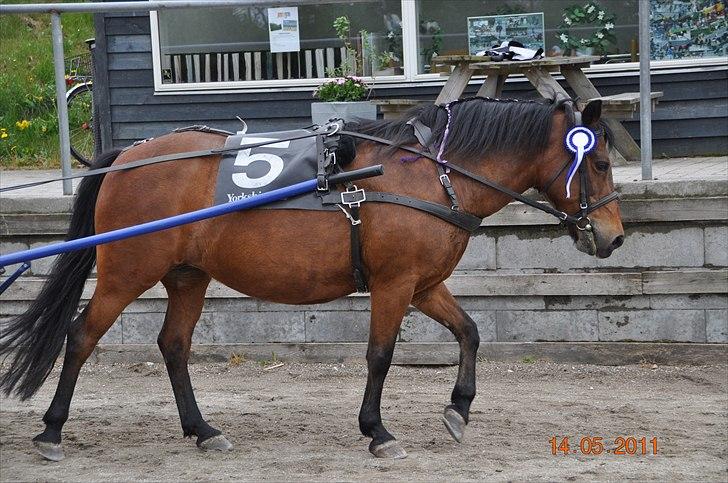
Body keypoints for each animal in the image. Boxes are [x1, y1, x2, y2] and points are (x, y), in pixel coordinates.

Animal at [1, 96, 624, 464]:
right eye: (598, 163)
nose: (614, 237)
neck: (430, 175)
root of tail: (130, 155)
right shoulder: (394, 284)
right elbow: (380, 356)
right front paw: (377, 431)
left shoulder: (423, 285)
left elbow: (469, 332)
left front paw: (459, 409)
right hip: (126, 272)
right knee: (81, 337)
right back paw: (52, 431)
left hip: (187, 276)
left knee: (173, 346)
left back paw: (203, 429)